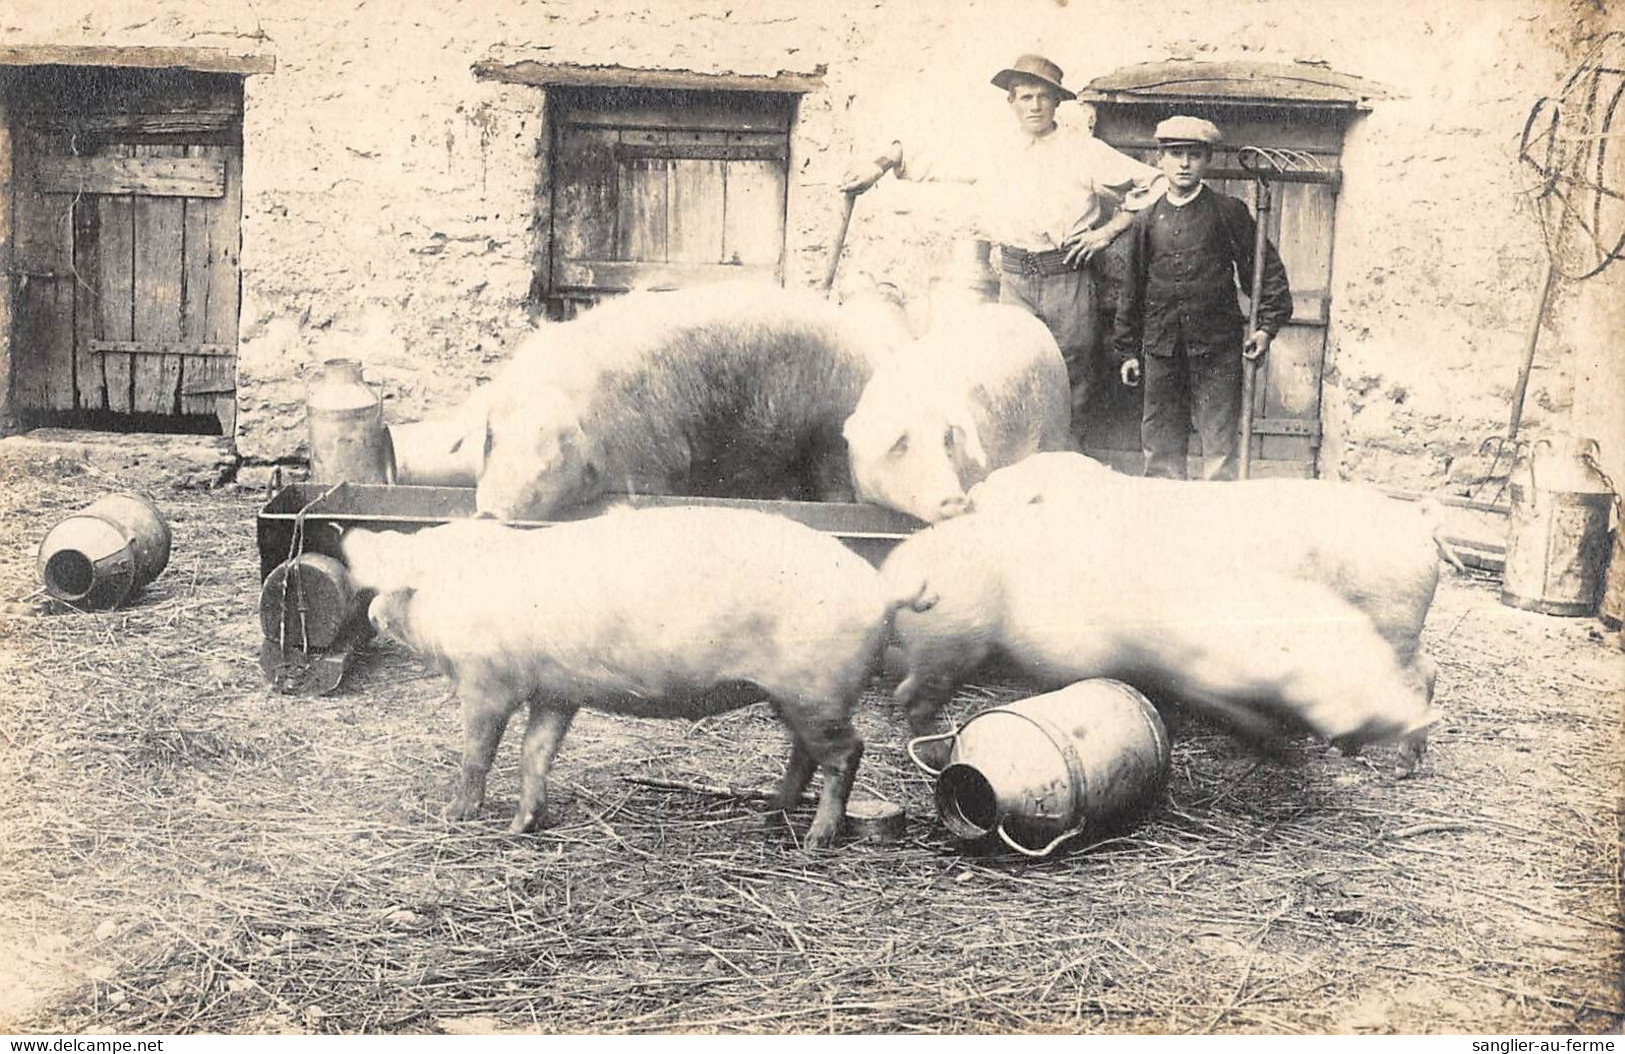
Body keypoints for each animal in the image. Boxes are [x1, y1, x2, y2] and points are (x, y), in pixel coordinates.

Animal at [342, 506, 929, 844]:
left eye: (397, 586)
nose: (371, 615)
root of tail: (881, 589)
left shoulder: (488, 682)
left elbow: (478, 753)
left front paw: (453, 815)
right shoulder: (557, 692)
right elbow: (536, 753)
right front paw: (523, 825)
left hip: (817, 691)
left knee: (847, 752)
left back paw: (815, 840)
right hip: (794, 697)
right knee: (805, 754)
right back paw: (767, 814)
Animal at [468, 280, 890, 519]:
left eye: (555, 455)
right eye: (490, 439)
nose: (489, 513)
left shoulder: (654, 460)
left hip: (831, 426)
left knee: (835, 482)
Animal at [884, 503, 1443, 760]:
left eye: (1369, 659)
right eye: (1336, 675)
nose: (1413, 720)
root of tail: (900, 567)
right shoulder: (1197, 675)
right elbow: (1231, 712)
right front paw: (1280, 746)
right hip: (950, 634)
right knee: (910, 692)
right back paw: (933, 750)